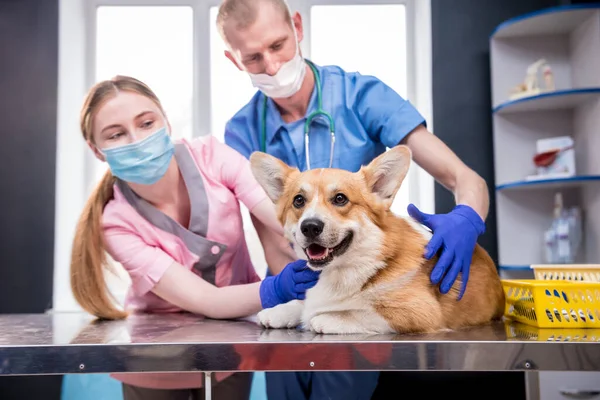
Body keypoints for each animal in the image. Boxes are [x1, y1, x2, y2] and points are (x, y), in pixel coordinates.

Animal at [248, 146, 506, 334]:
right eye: (299, 200)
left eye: (340, 199)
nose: (310, 226)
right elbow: (304, 302)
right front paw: (280, 310)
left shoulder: (420, 312)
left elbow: (356, 311)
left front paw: (321, 318)